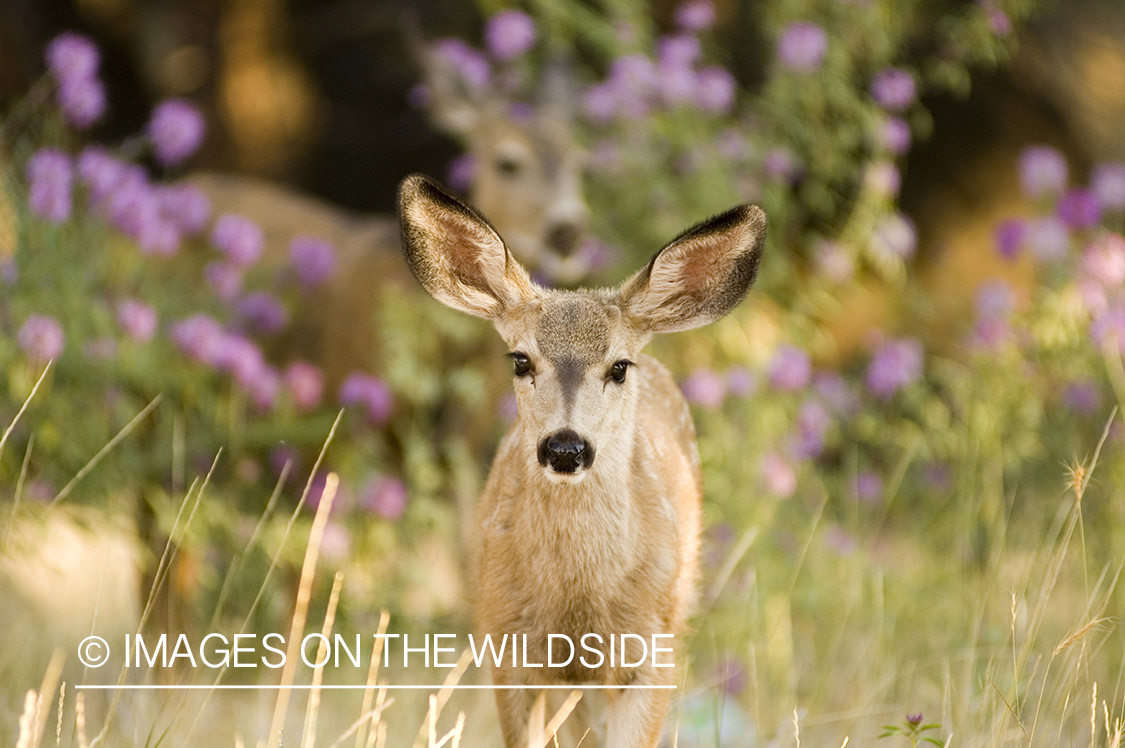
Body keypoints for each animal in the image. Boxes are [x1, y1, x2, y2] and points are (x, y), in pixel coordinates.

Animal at [397, 174, 767, 748]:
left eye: (619, 366)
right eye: (521, 360)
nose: (566, 447)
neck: (578, 610)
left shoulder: (653, 653)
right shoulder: (506, 645)